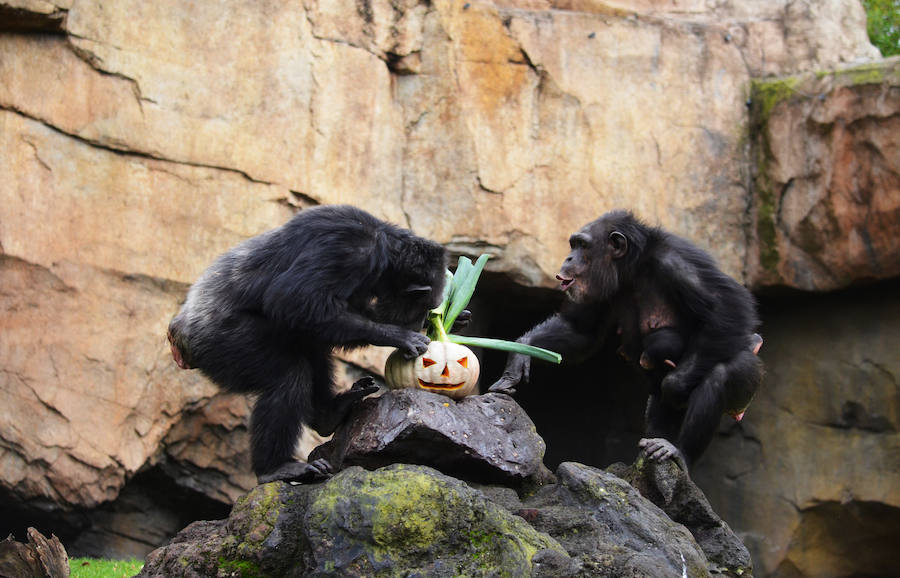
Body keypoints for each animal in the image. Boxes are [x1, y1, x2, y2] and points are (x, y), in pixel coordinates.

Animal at [167, 202, 448, 482]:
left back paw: (329, 414)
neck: (385, 253)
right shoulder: (349, 250)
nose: (421, 322)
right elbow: (294, 299)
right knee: (289, 377)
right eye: (424, 307)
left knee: (313, 349)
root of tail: (178, 339)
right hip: (225, 344)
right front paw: (399, 336)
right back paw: (277, 467)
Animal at [488, 209, 764, 466]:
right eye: (573, 244)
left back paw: (680, 452)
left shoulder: (678, 263)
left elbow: (728, 305)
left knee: (722, 373)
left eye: (582, 245)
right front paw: (521, 352)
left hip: (747, 388)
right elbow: (581, 330)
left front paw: (675, 386)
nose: (568, 257)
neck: (633, 268)